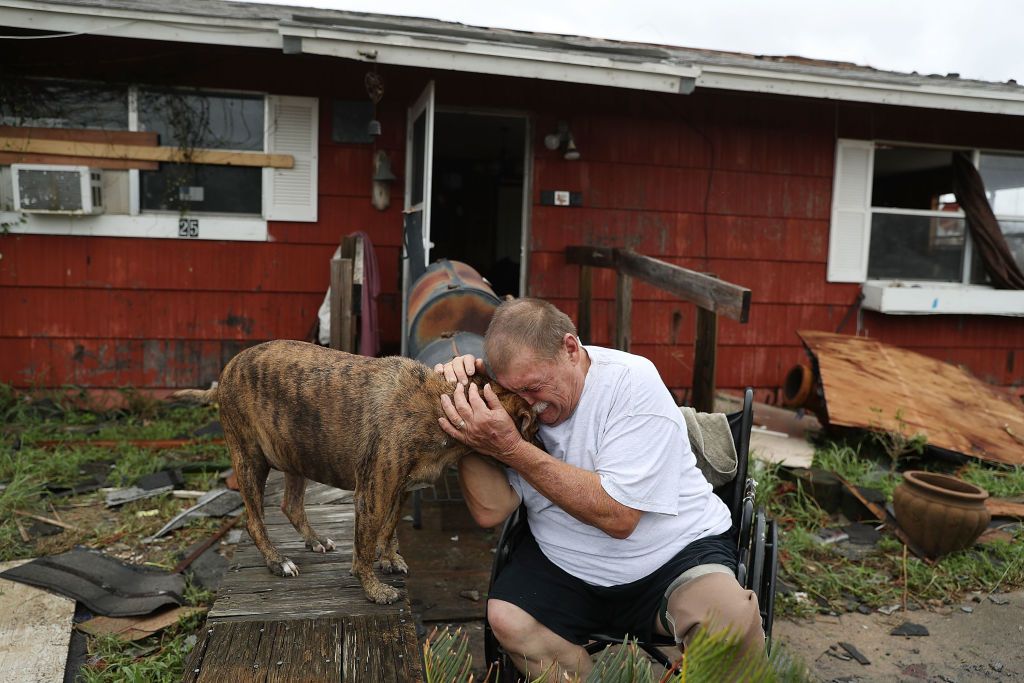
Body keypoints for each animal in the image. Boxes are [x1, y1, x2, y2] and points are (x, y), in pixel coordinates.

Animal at [169, 339, 536, 602]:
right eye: (531, 425)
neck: (442, 402)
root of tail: (226, 372)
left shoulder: (400, 489)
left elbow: (388, 529)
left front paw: (389, 559)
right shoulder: (373, 493)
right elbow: (365, 544)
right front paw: (373, 588)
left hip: (295, 452)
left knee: (291, 505)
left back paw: (315, 540)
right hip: (249, 459)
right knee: (254, 520)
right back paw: (276, 561)